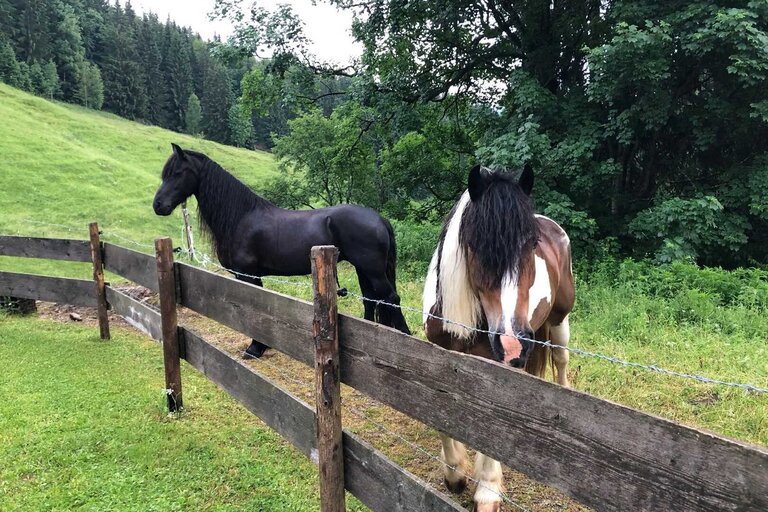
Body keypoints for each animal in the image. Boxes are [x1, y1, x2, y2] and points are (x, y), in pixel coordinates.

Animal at [152, 142, 412, 358]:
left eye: (177, 173)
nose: (158, 205)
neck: (241, 218)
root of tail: (379, 218)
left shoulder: (248, 274)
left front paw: (255, 348)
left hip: (373, 270)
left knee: (391, 298)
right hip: (363, 269)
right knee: (371, 300)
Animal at [424, 165, 572, 512]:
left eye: (531, 244)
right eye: (476, 244)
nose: (512, 342)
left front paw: (487, 492)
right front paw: (455, 474)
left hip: (560, 319)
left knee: (561, 359)